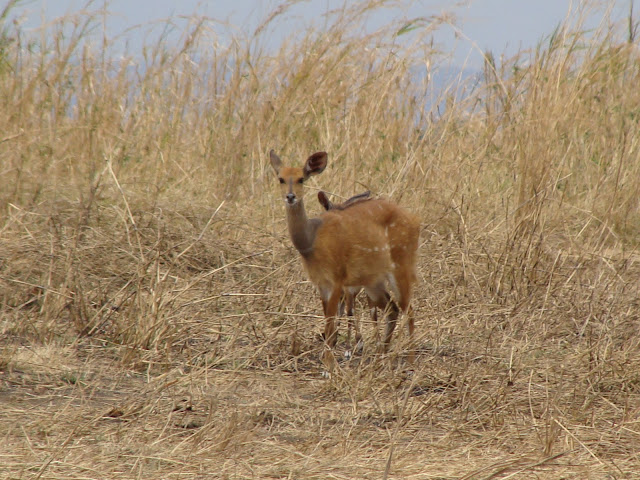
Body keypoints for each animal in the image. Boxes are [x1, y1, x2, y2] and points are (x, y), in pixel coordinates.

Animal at [268, 150, 420, 360]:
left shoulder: (337, 279)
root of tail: (415, 221)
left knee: (409, 309)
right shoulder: (321, 284)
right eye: (281, 179)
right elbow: (330, 326)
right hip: (373, 280)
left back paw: (410, 359)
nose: (290, 197)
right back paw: (380, 356)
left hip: (401, 265)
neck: (311, 242)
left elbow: (332, 326)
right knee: (393, 309)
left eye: (301, 179)